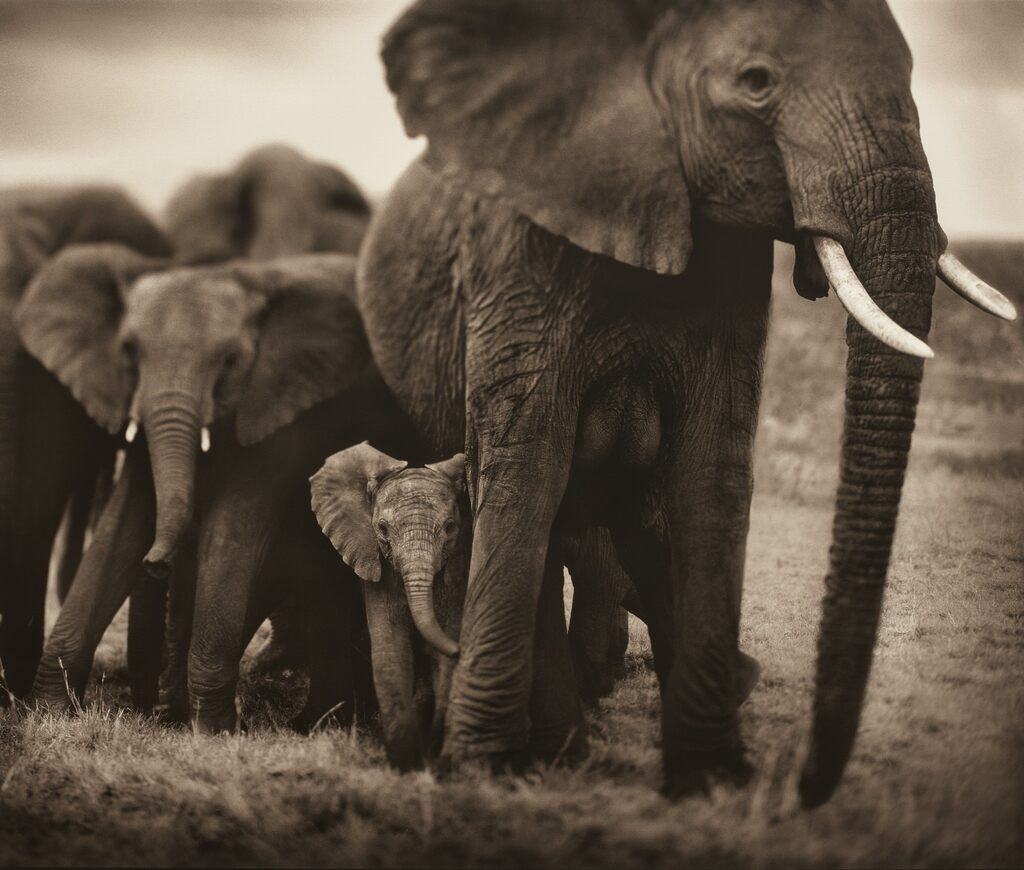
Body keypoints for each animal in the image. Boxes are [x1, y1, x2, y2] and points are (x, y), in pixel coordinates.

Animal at [19, 248, 422, 731]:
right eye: (129, 352)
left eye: (230, 360)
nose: (157, 563)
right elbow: (123, 523)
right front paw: (49, 713)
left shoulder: (281, 406)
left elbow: (233, 528)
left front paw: (212, 730)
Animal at [311, 444, 468, 770]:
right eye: (382, 529)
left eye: (450, 527)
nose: (459, 650)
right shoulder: (374, 563)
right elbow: (390, 649)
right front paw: (406, 760)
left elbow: (447, 641)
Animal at [356, 0, 1015, 805]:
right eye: (756, 82)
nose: (803, 788)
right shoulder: (515, 260)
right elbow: (526, 468)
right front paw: (481, 770)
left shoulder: (732, 276)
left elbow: (710, 470)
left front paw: (710, 778)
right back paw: (557, 750)